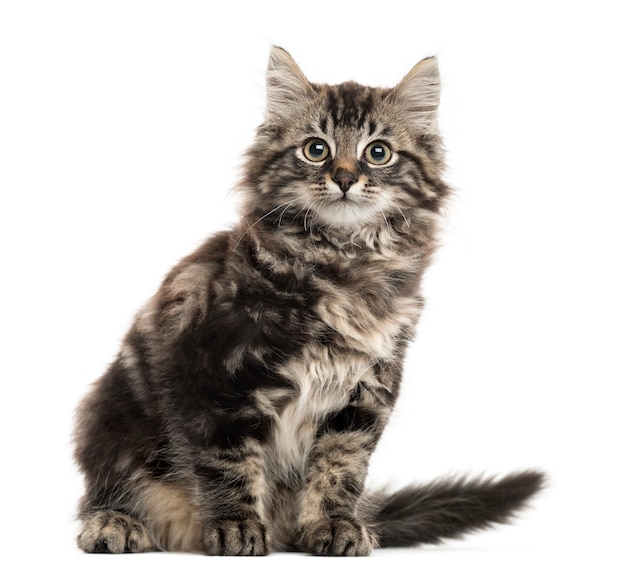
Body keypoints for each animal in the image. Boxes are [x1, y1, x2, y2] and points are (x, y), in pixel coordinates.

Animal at [72, 46, 540, 560]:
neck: (341, 264)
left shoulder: (364, 394)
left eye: (378, 152)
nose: (345, 178)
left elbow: (340, 468)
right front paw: (236, 527)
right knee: (111, 488)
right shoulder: (214, 378)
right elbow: (229, 462)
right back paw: (117, 525)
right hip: (112, 418)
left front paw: (333, 525)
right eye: (316, 149)